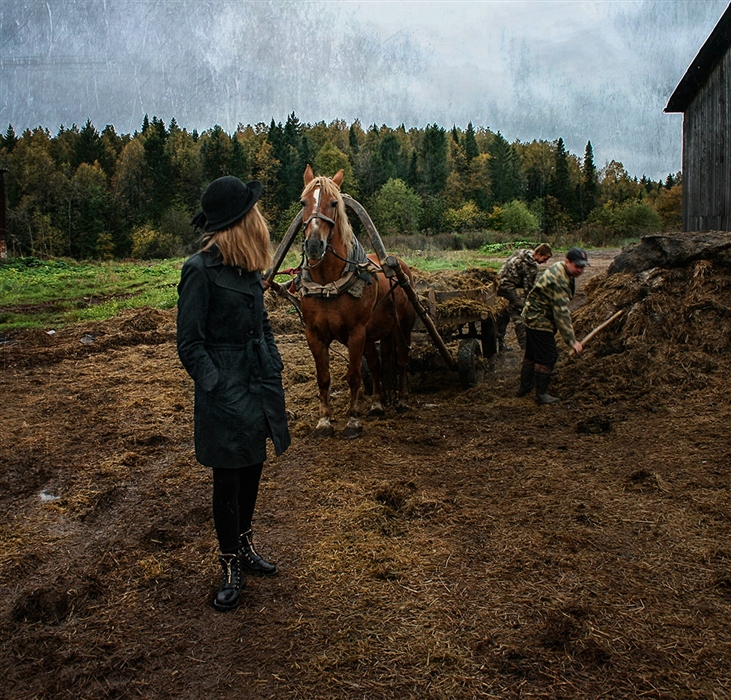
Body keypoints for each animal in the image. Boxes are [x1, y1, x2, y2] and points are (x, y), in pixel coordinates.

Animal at [298, 165, 418, 438]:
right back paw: (377, 403)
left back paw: (402, 399)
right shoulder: (314, 334)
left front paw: (352, 420)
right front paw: (324, 421)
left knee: (402, 360)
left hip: (401, 327)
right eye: (303, 202)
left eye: (334, 203)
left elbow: (353, 376)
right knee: (376, 364)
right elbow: (324, 378)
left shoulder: (355, 333)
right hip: (374, 333)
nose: (314, 245)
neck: (328, 284)